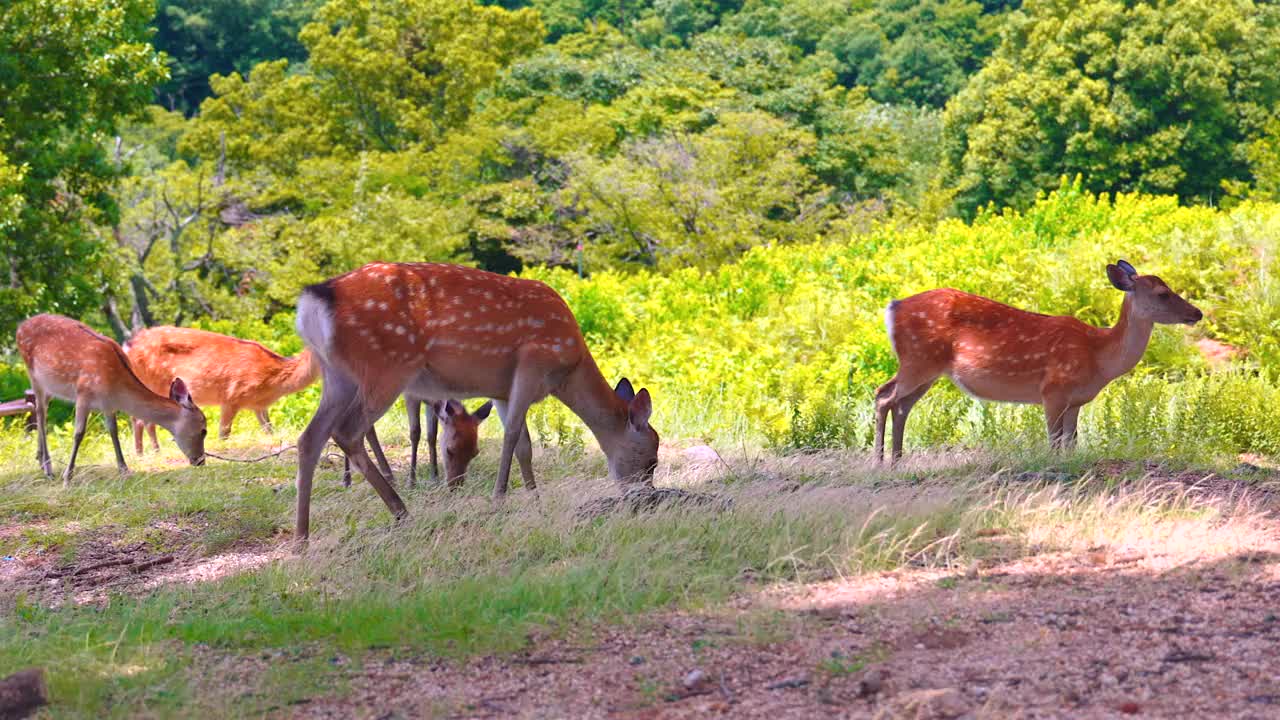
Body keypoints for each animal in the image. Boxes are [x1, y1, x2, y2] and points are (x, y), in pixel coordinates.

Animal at [14, 312, 207, 481]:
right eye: (203, 430)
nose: (201, 461)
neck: (116, 389)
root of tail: (20, 326)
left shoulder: (108, 404)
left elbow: (113, 431)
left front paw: (124, 469)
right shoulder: (83, 393)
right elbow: (79, 433)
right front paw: (68, 475)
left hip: (48, 386)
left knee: (43, 410)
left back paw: (40, 460)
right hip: (33, 375)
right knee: (40, 412)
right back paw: (48, 468)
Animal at [122, 324, 320, 448]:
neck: (273, 381)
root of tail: (129, 346)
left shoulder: (258, 406)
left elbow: (269, 430)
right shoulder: (232, 396)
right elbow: (224, 434)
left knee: (138, 418)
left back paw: (142, 453)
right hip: (152, 382)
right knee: (143, 419)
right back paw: (154, 451)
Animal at [293, 260, 660, 535]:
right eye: (652, 459)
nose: (647, 499)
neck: (568, 369)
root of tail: (315, 299)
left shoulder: (502, 389)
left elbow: (525, 446)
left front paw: (535, 500)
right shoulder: (531, 363)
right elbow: (512, 436)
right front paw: (499, 500)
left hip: (337, 375)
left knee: (310, 436)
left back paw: (302, 539)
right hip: (387, 365)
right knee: (347, 431)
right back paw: (401, 511)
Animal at [875, 260, 1203, 461]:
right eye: (1162, 293)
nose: (1197, 313)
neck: (1099, 357)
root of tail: (893, 307)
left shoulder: (1075, 402)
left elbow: (1071, 442)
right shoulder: (1053, 390)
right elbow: (1054, 441)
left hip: (927, 369)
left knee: (901, 405)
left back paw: (896, 460)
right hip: (918, 360)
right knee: (884, 395)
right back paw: (879, 461)